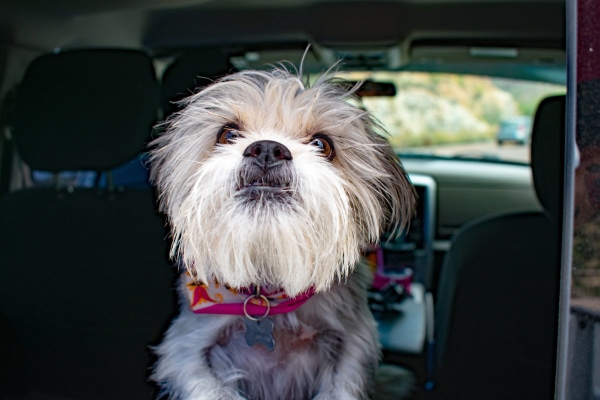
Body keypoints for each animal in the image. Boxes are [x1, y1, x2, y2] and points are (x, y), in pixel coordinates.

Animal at [148, 66, 414, 400]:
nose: (266, 149)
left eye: (322, 145)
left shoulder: (350, 349)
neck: (269, 290)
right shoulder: (188, 351)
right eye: (228, 134)